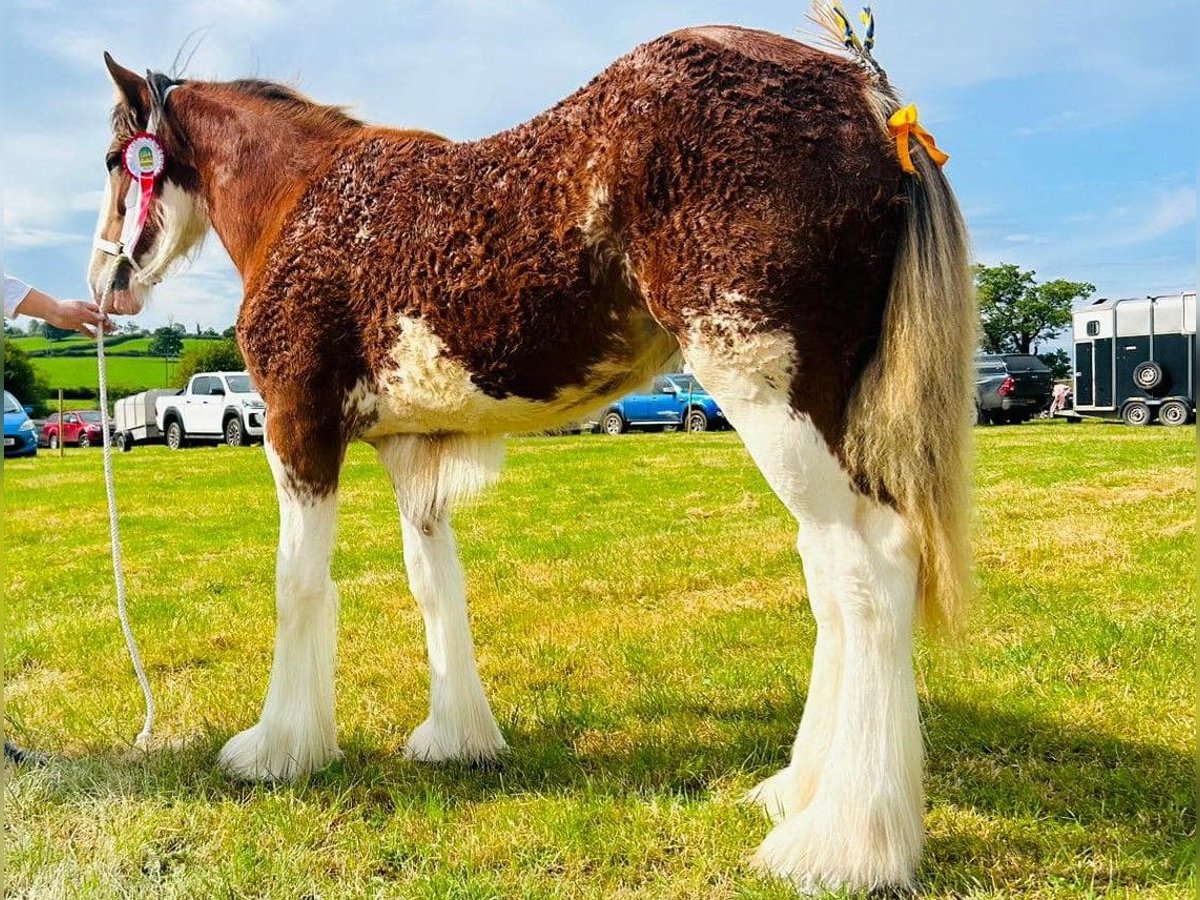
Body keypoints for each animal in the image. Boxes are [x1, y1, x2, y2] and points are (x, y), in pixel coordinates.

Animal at [91, 15, 974, 897]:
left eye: (114, 159)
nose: (106, 282)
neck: (304, 200)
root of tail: (865, 94)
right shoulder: (414, 455)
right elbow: (435, 589)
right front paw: (456, 738)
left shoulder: (297, 429)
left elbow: (298, 587)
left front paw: (278, 750)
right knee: (828, 573)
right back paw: (798, 790)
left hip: (768, 397)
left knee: (871, 565)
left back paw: (842, 844)